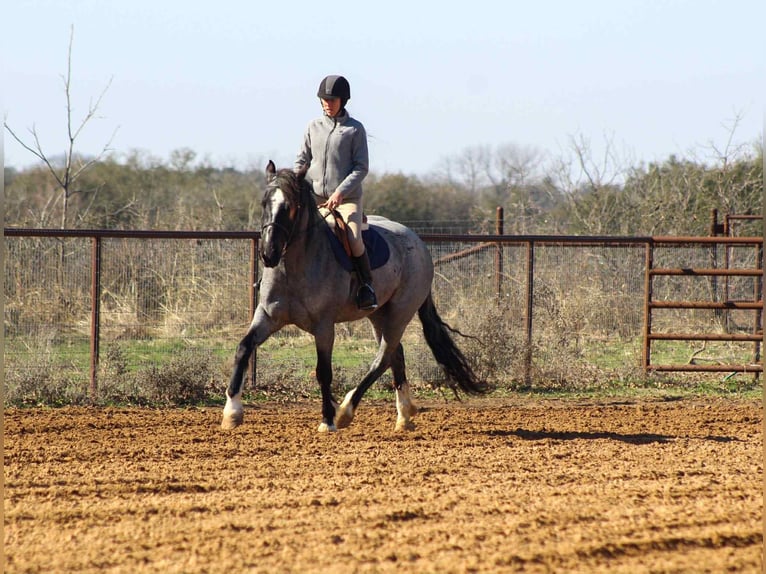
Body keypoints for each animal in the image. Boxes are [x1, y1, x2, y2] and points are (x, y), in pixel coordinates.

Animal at [222, 161, 487, 432]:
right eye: (264, 203)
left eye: (290, 207)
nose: (268, 253)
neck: (294, 268)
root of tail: (419, 243)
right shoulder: (267, 316)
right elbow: (243, 348)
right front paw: (232, 411)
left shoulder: (324, 326)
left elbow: (323, 372)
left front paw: (328, 420)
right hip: (379, 315)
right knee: (395, 354)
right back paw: (404, 415)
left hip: (399, 313)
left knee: (384, 357)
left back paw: (347, 411)